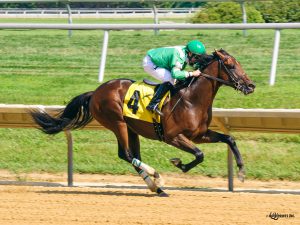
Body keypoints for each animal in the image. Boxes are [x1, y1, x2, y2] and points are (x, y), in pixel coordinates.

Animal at [31, 49, 255, 197]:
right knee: (127, 154)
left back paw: (157, 188)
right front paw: (179, 164)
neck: (192, 98)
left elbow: (229, 139)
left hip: (131, 128)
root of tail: (95, 92)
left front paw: (242, 172)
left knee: (131, 155)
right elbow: (199, 155)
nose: (251, 85)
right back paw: (157, 178)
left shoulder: (199, 134)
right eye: (232, 65)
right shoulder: (173, 136)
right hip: (117, 123)